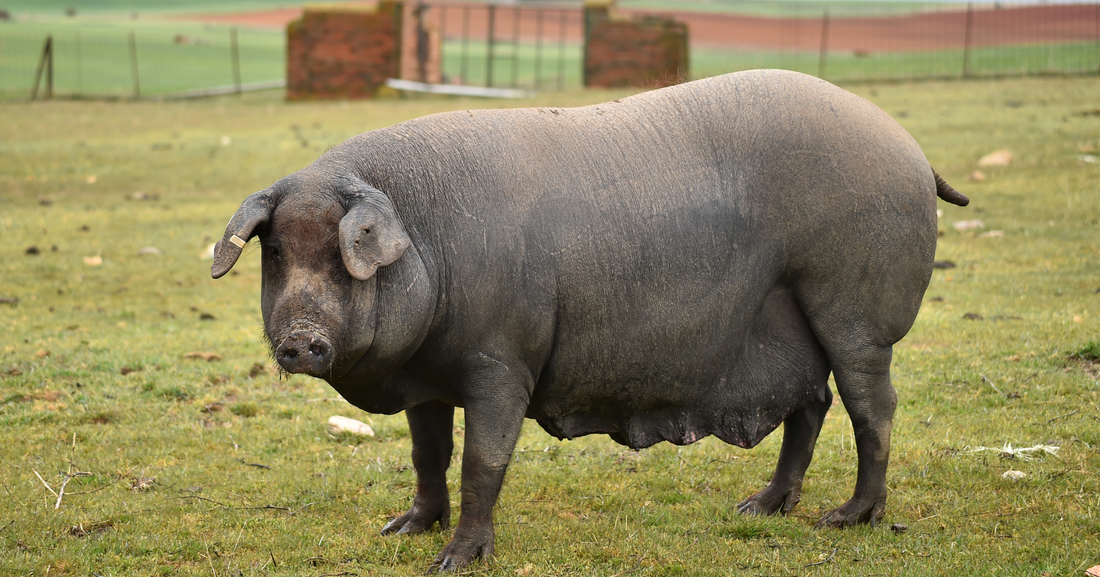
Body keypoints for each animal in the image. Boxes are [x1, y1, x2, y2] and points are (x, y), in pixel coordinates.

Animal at [214, 69, 972, 567]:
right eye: (276, 251)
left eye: (341, 256)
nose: (299, 341)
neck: (432, 243)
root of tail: (910, 149)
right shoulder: (428, 377)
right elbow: (429, 454)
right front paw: (401, 530)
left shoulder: (501, 361)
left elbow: (484, 460)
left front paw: (456, 560)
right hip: (789, 325)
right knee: (810, 404)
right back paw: (758, 508)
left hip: (857, 313)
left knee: (872, 405)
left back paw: (847, 520)